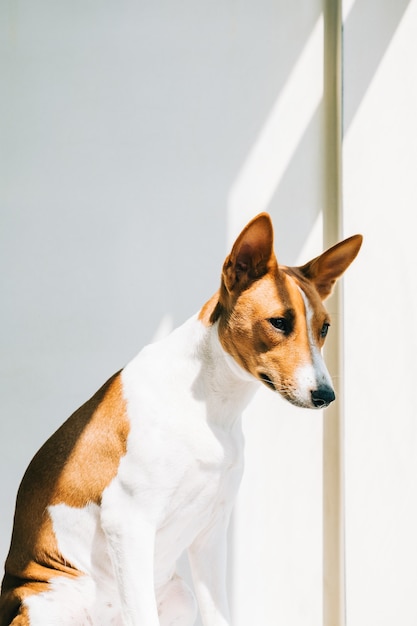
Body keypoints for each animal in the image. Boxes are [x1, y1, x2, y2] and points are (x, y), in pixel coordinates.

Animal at [0, 214, 360, 624]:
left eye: (324, 328)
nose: (326, 396)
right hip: (47, 604)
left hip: (180, 596)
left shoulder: (212, 531)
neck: (210, 407)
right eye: (280, 322)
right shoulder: (128, 520)